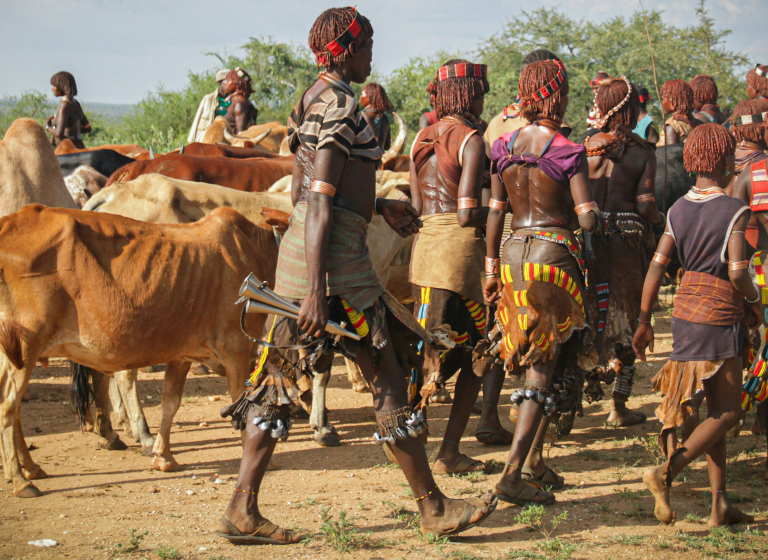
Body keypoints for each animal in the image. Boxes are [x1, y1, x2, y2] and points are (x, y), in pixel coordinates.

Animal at [0, 205, 276, 494]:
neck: (259, 247)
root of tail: (10, 222)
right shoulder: (236, 349)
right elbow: (240, 402)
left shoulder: (183, 354)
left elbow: (170, 403)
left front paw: (163, 456)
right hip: (27, 345)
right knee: (8, 407)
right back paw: (20, 479)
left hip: (11, 352)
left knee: (13, 407)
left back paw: (30, 466)